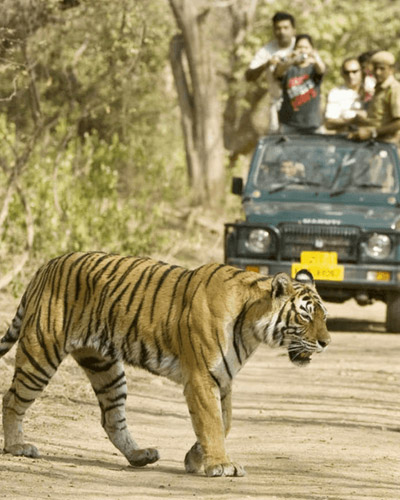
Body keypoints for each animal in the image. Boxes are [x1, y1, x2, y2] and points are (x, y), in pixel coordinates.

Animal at [0, 252, 330, 478]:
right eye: (305, 315)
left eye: (324, 315)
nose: (327, 342)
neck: (251, 325)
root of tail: (47, 264)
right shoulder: (202, 377)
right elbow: (212, 421)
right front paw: (220, 464)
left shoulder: (223, 378)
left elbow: (224, 422)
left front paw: (195, 457)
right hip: (41, 353)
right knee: (12, 398)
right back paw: (17, 447)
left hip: (105, 367)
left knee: (111, 418)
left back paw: (139, 455)